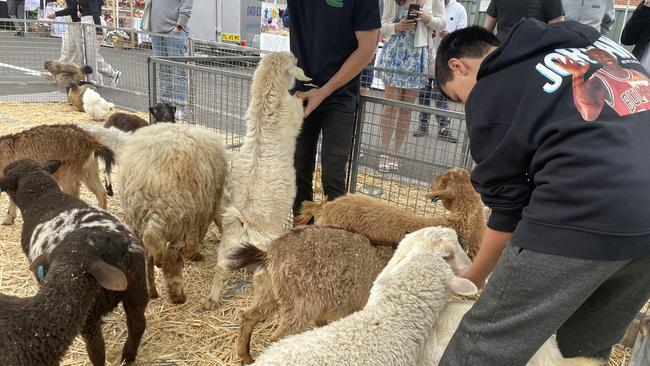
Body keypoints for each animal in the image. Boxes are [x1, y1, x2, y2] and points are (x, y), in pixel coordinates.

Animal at [117, 123, 229, 304]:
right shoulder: (201, 215)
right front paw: (195, 254)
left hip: (138, 221)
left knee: (148, 257)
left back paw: (152, 292)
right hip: (177, 220)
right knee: (171, 260)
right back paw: (177, 296)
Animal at [205, 50, 312, 308]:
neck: (265, 106)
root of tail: (245, 222)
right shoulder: (293, 113)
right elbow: (299, 108)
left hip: (229, 244)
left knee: (221, 267)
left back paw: (212, 299)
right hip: (266, 246)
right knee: (260, 274)